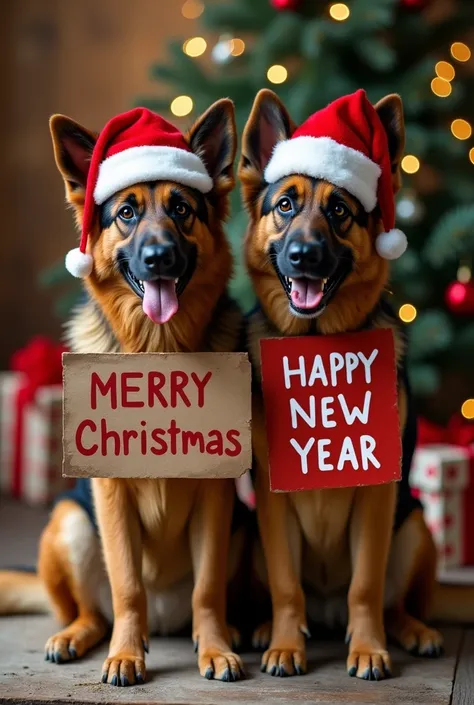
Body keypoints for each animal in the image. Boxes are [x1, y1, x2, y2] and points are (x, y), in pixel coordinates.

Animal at [0, 102, 244, 684]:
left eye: (182, 209)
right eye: (127, 213)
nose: (158, 257)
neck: (158, 353)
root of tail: (166, 619)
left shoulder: (216, 496)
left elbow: (208, 588)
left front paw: (216, 649)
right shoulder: (110, 495)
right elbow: (127, 585)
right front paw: (126, 655)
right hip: (70, 522)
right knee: (94, 608)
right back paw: (79, 636)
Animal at [241, 91, 474, 680]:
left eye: (340, 212)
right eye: (285, 205)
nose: (303, 255)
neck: (318, 343)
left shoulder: (377, 497)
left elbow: (366, 586)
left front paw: (368, 648)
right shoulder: (273, 505)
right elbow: (287, 586)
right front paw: (286, 644)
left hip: (413, 526)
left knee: (395, 601)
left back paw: (412, 630)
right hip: (254, 534)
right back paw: (268, 628)